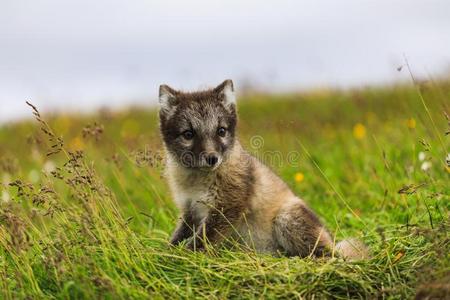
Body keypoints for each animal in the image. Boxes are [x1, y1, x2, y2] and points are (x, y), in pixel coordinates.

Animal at [157, 80, 366, 260]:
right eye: (188, 134)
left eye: (221, 131)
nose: (212, 158)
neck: (196, 181)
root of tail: (333, 242)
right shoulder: (190, 210)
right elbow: (178, 236)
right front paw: (166, 253)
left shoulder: (227, 207)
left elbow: (201, 240)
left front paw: (181, 257)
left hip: (286, 217)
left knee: (325, 255)